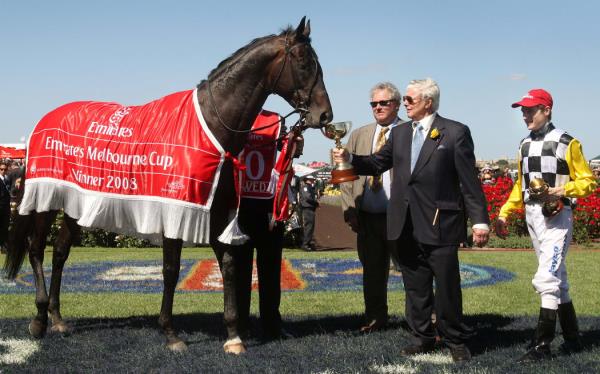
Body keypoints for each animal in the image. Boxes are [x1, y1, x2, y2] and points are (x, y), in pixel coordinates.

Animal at [3, 17, 332, 352]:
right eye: (304, 61)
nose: (325, 114)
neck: (211, 125)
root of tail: (42, 123)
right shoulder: (177, 209)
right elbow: (171, 271)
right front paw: (171, 333)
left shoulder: (216, 211)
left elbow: (228, 265)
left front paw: (233, 335)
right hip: (46, 199)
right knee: (36, 250)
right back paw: (39, 319)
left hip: (76, 203)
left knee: (60, 252)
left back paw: (57, 318)